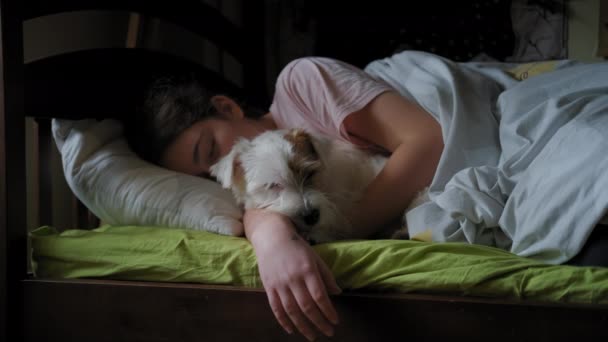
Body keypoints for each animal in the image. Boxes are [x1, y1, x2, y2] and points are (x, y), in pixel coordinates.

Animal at [211, 128, 430, 243]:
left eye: (310, 173)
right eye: (273, 185)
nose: (311, 216)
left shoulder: (345, 211)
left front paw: (317, 235)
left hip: (420, 198)